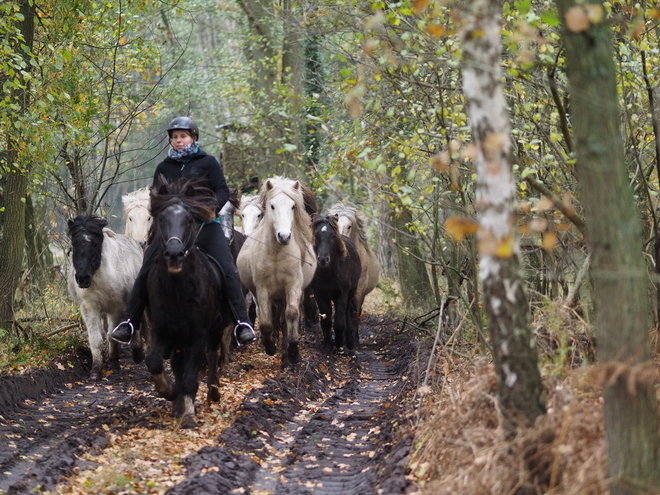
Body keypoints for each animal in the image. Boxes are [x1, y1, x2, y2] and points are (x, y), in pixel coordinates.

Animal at [66, 215, 144, 382]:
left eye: (95, 244)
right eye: (75, 244)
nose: (82, 279)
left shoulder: (116, 308)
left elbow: (111, 336)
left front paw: (114, 363)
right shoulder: (90, 308)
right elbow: (96, 339)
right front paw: (96, 370)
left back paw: (137, 352)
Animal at [146, 176, 233, 428]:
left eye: (188, 220)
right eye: (161, 219)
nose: (174, 254)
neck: (177, 291)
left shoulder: (197, 335)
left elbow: (190, 378)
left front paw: (188, 417)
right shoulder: (161, 330)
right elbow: (154, 361)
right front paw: (169, 393)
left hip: (215, 328)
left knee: (212, 355)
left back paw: (212, 394)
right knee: (178, 363)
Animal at [237, 176, 318, 366]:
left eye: (293, 206)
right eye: (272, 206)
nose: (284, 236)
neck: (276, 255)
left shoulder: (293, 286)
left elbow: (292, 314)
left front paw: (293, 352)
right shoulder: (262, 290)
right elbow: (266, 322)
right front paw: (269, 346)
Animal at [310, 215, 360, 354]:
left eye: (332, 236)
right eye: (316, 235)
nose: (323, 259)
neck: (329, 273)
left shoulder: (341, 295)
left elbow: (339, 323)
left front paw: (338, 343)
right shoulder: (320, 295)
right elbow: (326, 322)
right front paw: (328, 347)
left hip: (349, 295)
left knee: (347, 314)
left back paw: (349, 343)